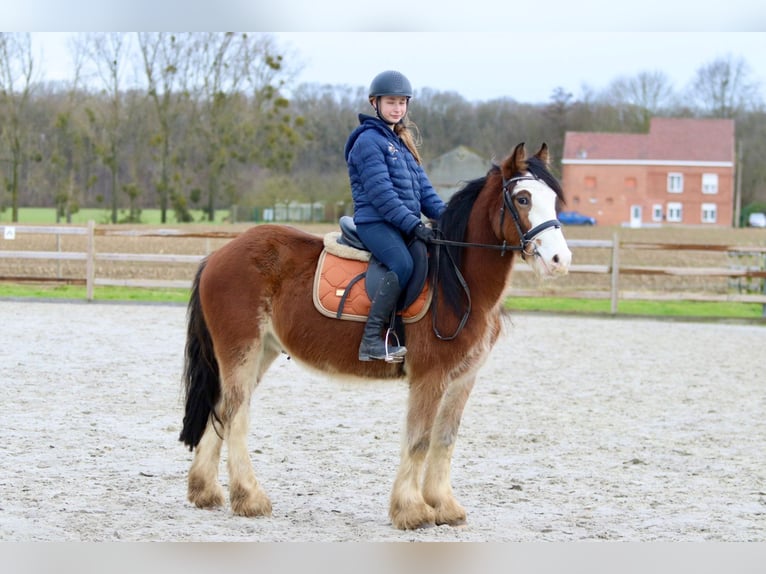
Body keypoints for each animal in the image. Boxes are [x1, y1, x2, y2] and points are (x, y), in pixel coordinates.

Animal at [180, 143, 572, 532]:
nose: (560, 260)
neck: (458, 284)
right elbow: (420, 440)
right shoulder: (430, 377)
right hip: (241, 350)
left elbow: (445, 441)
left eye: (553, 199)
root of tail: (218, 255)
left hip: (260, 351)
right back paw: (249, 498)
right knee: (236, 415)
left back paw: (205, 491)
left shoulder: (462, 380)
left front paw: (444, 506)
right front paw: (412, 510)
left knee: (222, 409)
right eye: (522, 198)